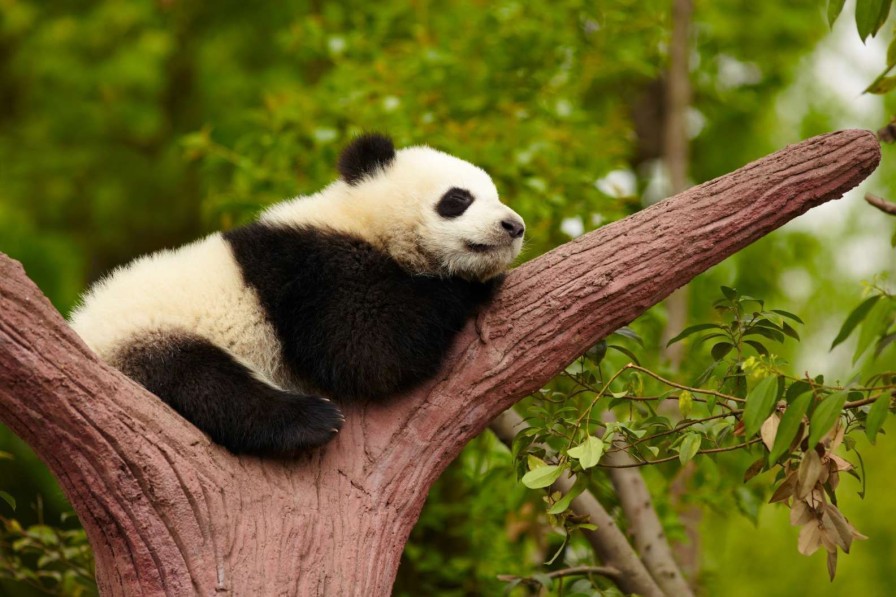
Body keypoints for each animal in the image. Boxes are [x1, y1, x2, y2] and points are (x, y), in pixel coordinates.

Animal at [73, 133, 528, 454]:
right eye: (458, 199)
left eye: (496, 195)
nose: (514, 226)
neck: (360, 218)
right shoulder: (312, 269)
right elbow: (367, 350)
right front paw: (471, 286)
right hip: (144, 335)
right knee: (201, 380)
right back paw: (311, 421)